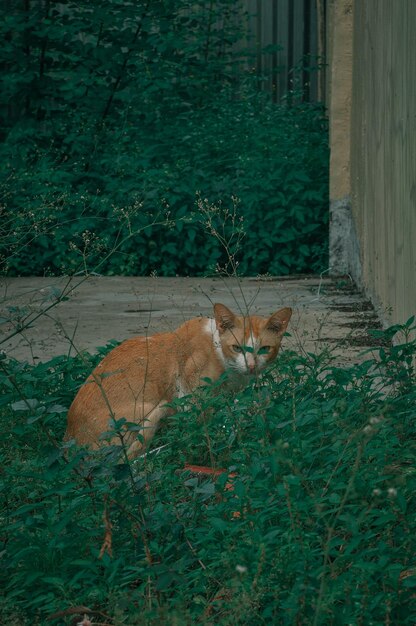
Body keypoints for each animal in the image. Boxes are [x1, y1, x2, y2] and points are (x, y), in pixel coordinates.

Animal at [66, 300, 292, 456]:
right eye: (237, 348)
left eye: (264, 349)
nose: (251, 366)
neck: (218, 349)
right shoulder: (193, 396)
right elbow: (202, 430)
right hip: (153, 408)